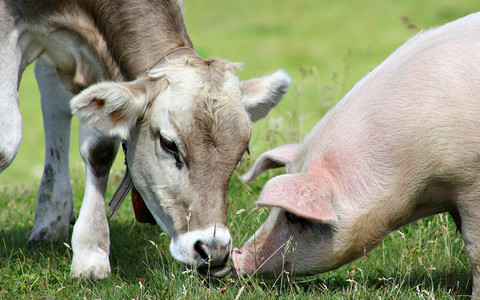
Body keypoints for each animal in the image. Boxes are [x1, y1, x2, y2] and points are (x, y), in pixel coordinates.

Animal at [0, 0, 290, 278]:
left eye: (243, 152)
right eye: (169, 144)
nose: (213, 250)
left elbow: (99, 150)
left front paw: (90, 251)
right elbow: (7, 144)